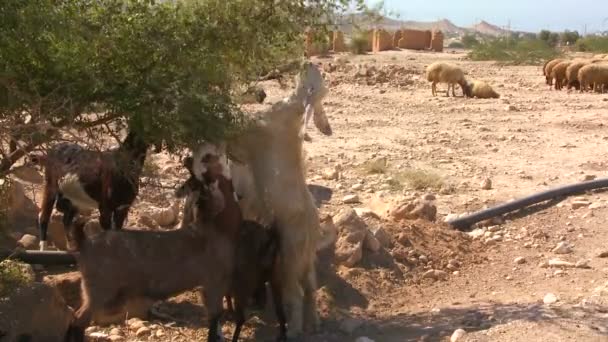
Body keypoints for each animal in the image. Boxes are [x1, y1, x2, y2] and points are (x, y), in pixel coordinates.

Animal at [228, 60, 332, 336]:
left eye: (315, 83)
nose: (309, 62)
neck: (291, 111)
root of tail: (310, 228)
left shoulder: (254, 131)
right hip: (306, 260)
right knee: (311, 287)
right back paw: (314, 325)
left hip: (289, 255)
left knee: (295, 293)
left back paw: (294, 331)